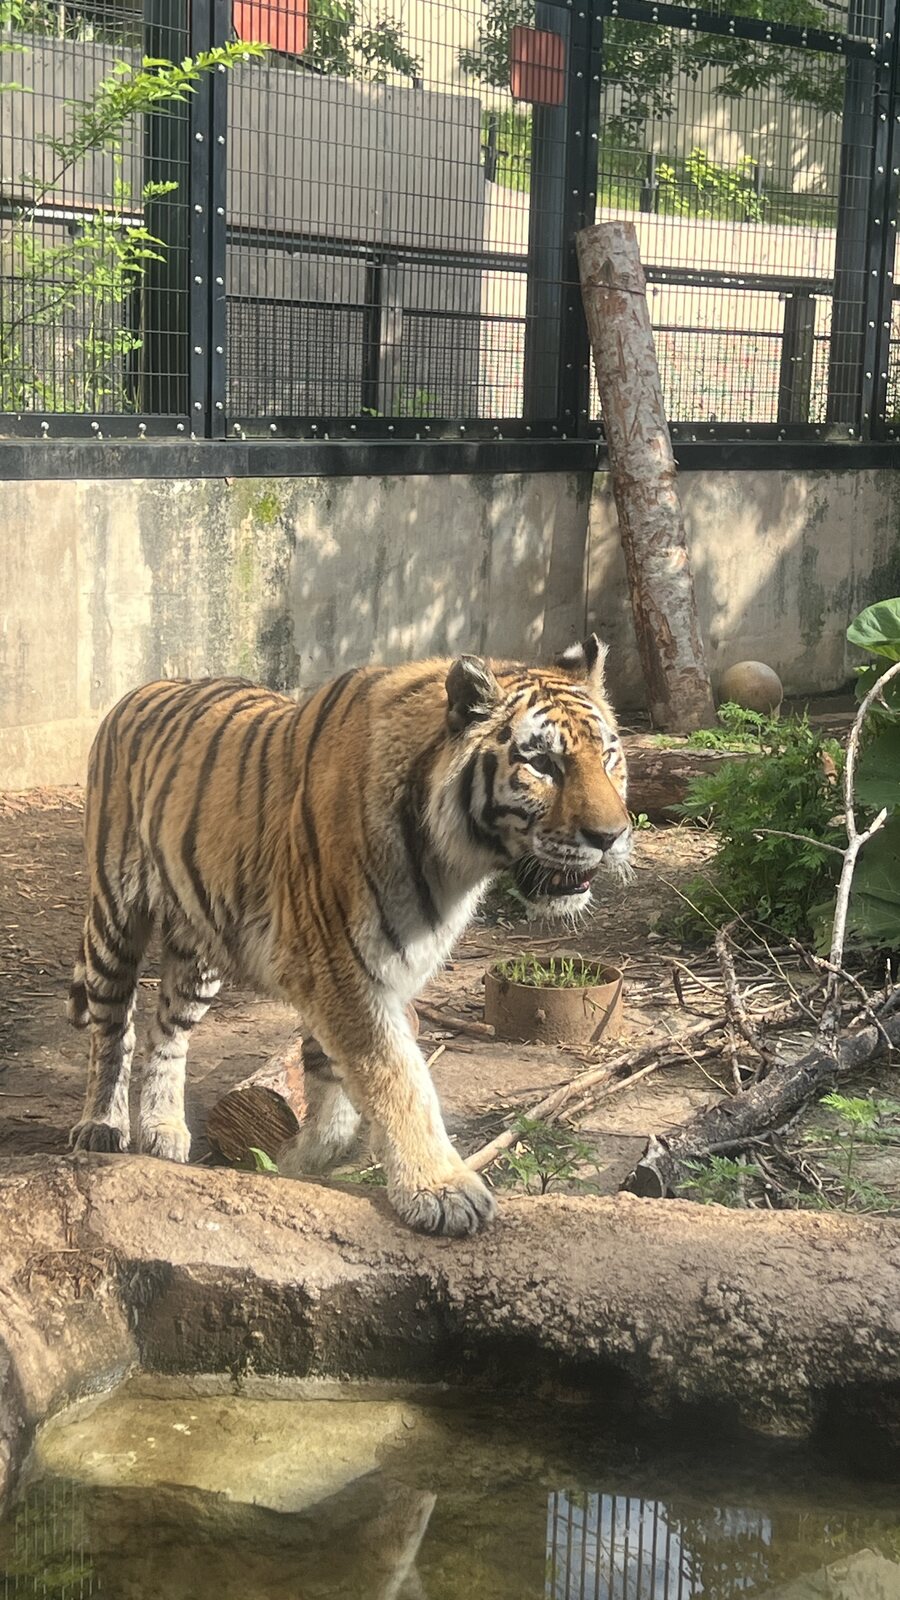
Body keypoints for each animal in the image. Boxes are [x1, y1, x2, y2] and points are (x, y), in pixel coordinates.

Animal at [66, 635, 632, 1236]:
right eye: (543, 763)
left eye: (608, 756)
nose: (612, 836)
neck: (455, 861)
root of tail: (139, 690)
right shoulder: (339, 967)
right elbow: (397, 1079)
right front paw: (441, 1189)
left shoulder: (355, 971)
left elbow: (332, 1085)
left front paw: (299, 1163)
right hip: (115, 915)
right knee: (112, 1028)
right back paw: (102, 1126)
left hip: (198, 950)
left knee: (165, 1033)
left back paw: (164, 1132)